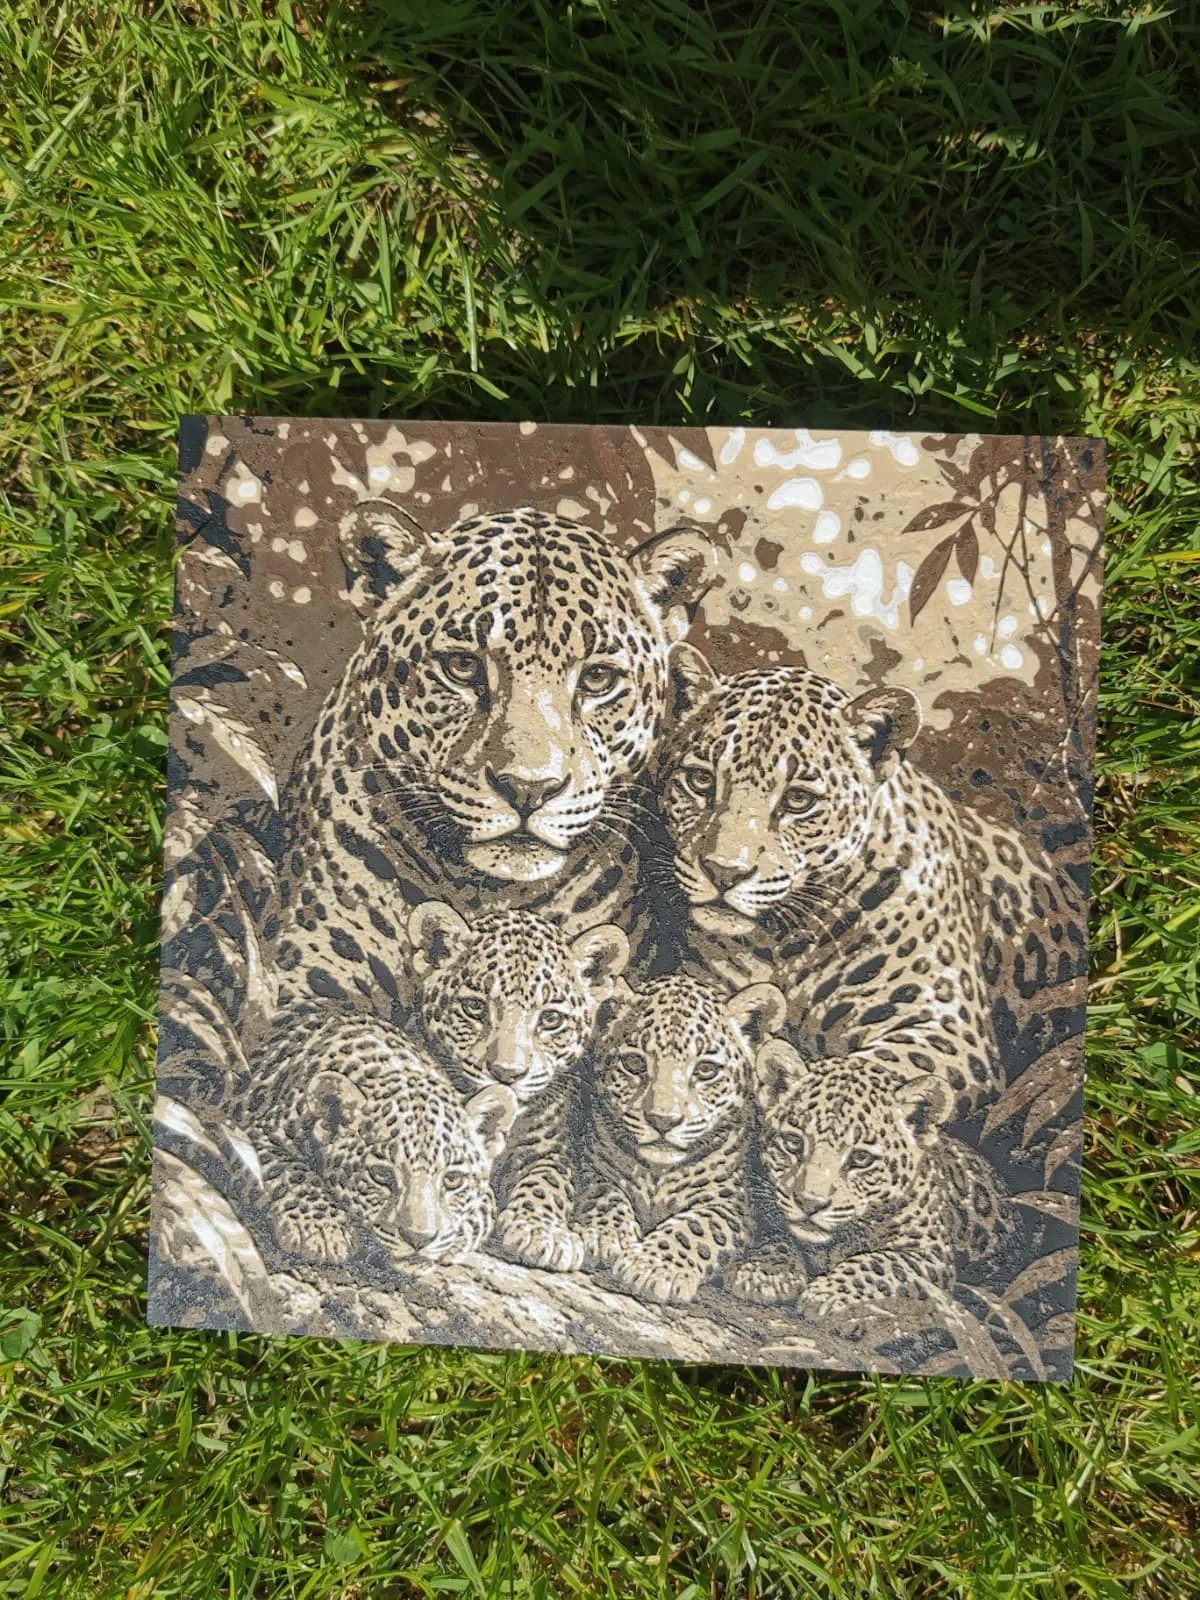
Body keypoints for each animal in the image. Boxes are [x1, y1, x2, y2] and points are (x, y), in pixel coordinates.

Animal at [233, 1008, 518, 1269]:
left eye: (453, 1180)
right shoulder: (250, 1131)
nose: (419, 1239)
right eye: (380, 1175)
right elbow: (291, 1171)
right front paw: (323, 1229)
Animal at [572, 973, 787, 1303]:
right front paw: (604, 1234)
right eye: (634, 1063)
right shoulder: (595, 1165)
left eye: (706, 1070)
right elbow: (604, 1194)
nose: (663, 1121)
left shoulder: (729, 1203)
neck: (658, 1174)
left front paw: (652, 1266)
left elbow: (695, 1228)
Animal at [656, 646, 1087, 1108]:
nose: (723, 872)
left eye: (798, 800)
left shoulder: (947, 1028)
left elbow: (871, 1073)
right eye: (701, 780)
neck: (785, 942)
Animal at [730, 1039, 1012, 1323]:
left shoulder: (929, 1254)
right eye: (793, 1142)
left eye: (861, 1158)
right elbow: (775, 1232)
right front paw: (765, 1271)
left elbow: (879, 1263)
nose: (810, 1203)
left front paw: (826, 1293)